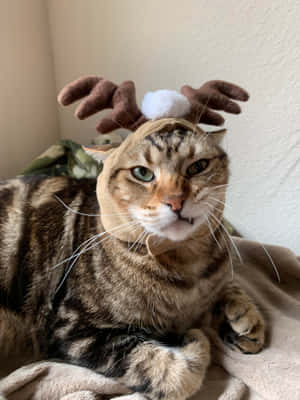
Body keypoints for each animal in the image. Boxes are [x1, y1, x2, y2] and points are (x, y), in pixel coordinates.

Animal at [0, 117, 264, 398]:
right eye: (142, 173)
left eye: (198, 166)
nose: (176, 201)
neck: (185, 263)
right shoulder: (74, 329)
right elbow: (173, 372)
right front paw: (192, 340)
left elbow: (229, 284)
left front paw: (245, 318)